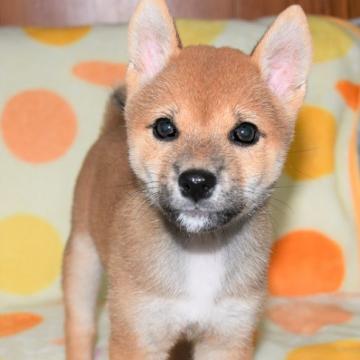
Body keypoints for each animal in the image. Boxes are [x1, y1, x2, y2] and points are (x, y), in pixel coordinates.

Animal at [64, 1, 312, 358]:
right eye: (164, 127)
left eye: (245, 132)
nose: (196, 181)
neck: (200, 252)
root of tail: (111, 128)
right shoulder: (138, 336)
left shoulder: (227, 337)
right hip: (82, 260)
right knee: (80, 326)